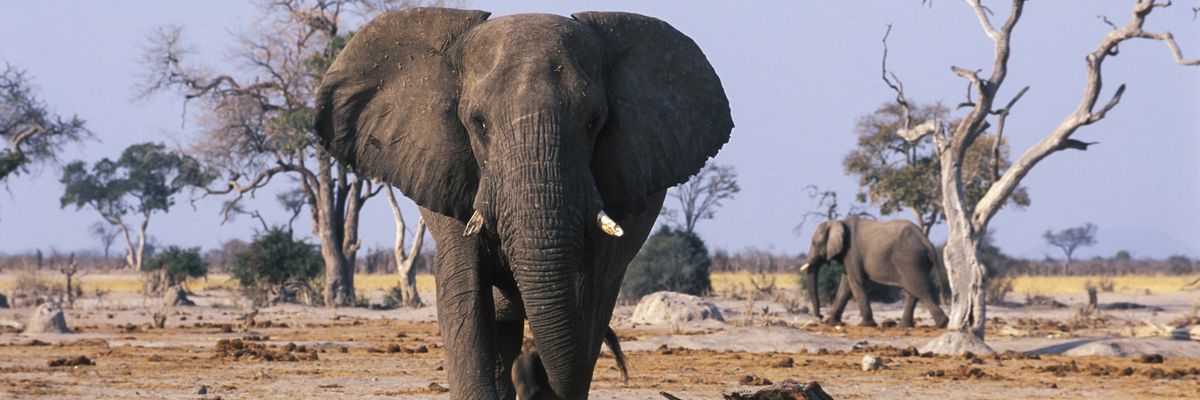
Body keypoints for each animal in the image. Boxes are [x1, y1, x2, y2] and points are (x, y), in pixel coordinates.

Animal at [800, 217, 949, 328]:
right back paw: (905, 326)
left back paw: (942, 323)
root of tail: (926, 241)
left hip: (910, 259)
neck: (839, 222)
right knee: (913, 291)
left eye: (814, 243)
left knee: (918, 289)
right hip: (916, 261)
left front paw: (866, 325)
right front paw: (832, 323)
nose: (820, 316)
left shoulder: (851, 252)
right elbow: (846, 285)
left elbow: (855, 283)